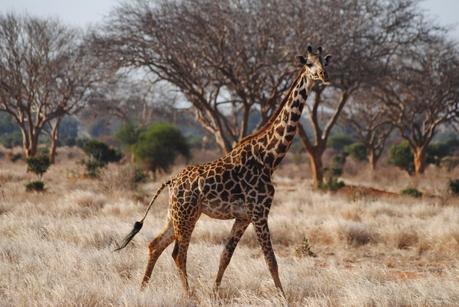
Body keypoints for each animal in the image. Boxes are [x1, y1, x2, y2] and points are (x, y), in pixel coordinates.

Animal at [114, 45, 330, 296]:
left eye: (324, 62)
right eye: (309, 64)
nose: (324, 75)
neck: (269, 158)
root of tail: (171, 181)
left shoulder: (244, 217)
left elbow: (225, 256)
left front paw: (214, 293)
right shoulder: (259, 212)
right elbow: (271, 260)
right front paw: (283, 297)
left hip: (175, 214)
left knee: (155, 245)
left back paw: (142, 289)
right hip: (186, 214)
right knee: (178, 253)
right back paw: (188, 294)